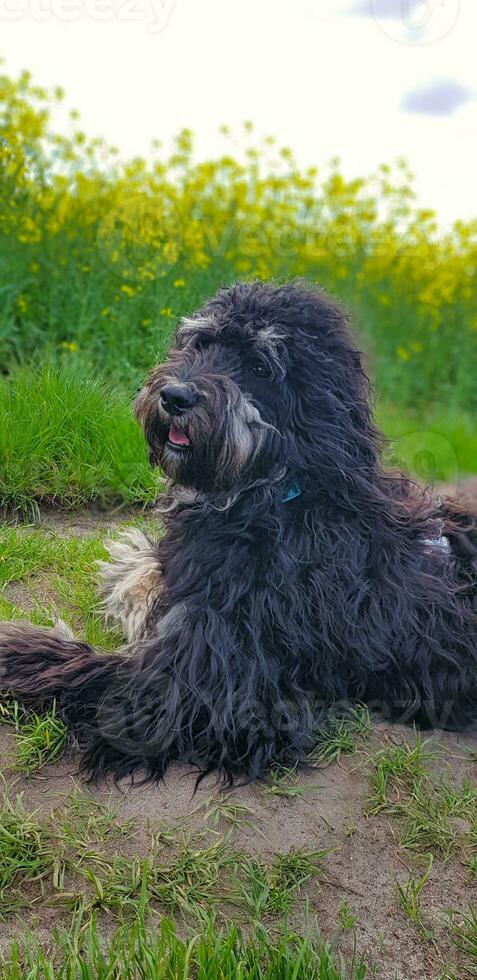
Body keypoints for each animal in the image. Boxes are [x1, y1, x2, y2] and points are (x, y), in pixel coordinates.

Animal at [0, 282, 476, 780]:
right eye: (200, 343)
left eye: (260, 367)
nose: (175, 397)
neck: (274, 495)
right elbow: (144, 576)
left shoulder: (216, 692)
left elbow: (97, 670)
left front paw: (15, 649)